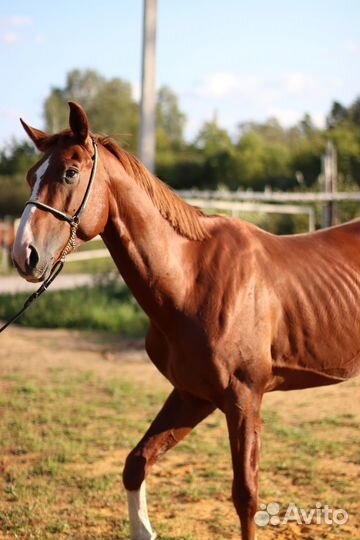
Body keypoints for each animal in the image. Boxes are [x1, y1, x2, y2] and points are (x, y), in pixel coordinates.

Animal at [11, 102, 360, 540]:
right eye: (30, 175)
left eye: (70, 172)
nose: (24, 255)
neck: (192, 278)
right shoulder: (193, 394)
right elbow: (136, 463)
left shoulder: (244, 399)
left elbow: (246, 497)